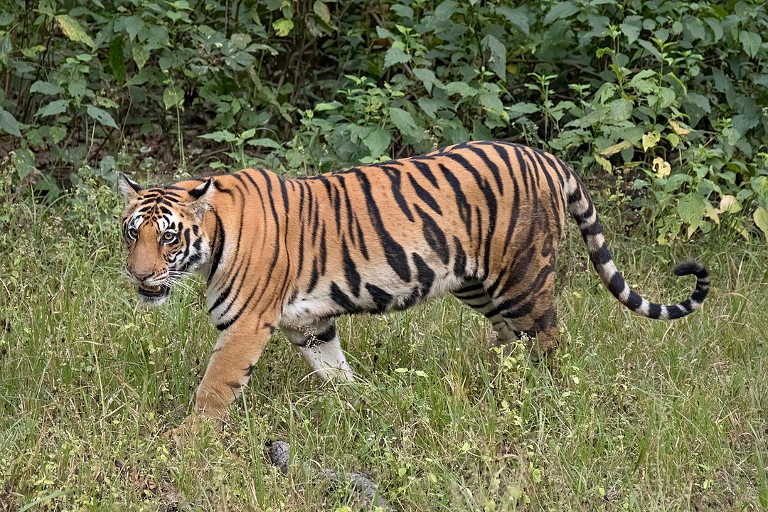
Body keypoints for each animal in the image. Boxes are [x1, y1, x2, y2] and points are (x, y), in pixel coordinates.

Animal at [118, 140, 709, 423]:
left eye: (168, 238)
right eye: (131, 233)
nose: (139, 275)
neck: (213, 239)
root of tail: (544, 157)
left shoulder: (244, 326)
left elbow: (214, 388)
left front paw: (190, 441)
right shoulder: (310, 324)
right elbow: (335, 370)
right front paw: (360, 403)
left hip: (523, 278)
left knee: (547, 340)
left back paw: (541, 397)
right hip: (478, 283)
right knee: (509, 339)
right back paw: (495, 385)